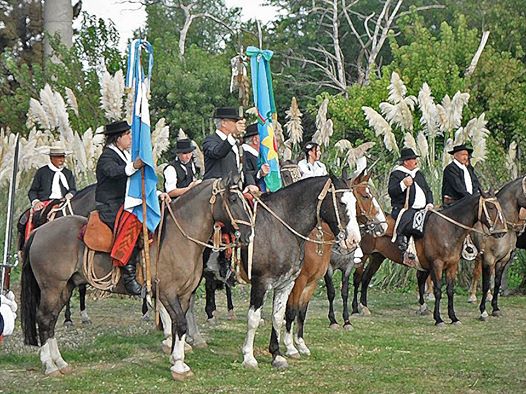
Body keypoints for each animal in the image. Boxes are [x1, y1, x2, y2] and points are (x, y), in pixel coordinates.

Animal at [21, 177, 256, 380]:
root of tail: (39, 232)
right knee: (44, 319)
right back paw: (50, 365)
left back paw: (60, 363)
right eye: (233, 199)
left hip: (64, 288)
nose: (248, 235)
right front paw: (179, 366)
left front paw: (176, 358)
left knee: (51, 320)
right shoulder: (168, 293)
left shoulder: (184, 294)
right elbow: (180, 324)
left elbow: (179, 325)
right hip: (52, 288)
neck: (178, 238)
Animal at [239, 174, 364, 368]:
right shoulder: (263, 283)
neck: (278, 228)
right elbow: (257, 318)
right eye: (341, 202)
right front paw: (250, 357)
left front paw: (280, 353)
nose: (353, 240)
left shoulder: (292, 283)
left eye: (355, 201)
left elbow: (283, 315)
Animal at [282, 169, 390, 358]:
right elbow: (330, 293)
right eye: (365, 196)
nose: (383, 226)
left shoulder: (345, 268)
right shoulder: (323, 272)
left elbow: (344, 292)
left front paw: (346, 321)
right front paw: (333, 321)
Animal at [354, 191, 508, 326]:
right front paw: (438, 319)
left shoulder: (452, 265)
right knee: (358, 279)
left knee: (366, 279)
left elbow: (450, 291)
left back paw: (364, 307)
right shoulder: (437, 265)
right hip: (363, 257)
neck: (447, 229)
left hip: (377, 257)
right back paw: (355, 309)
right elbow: (438, 291)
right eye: (490, 207)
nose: (502, 231)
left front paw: (453, 318)